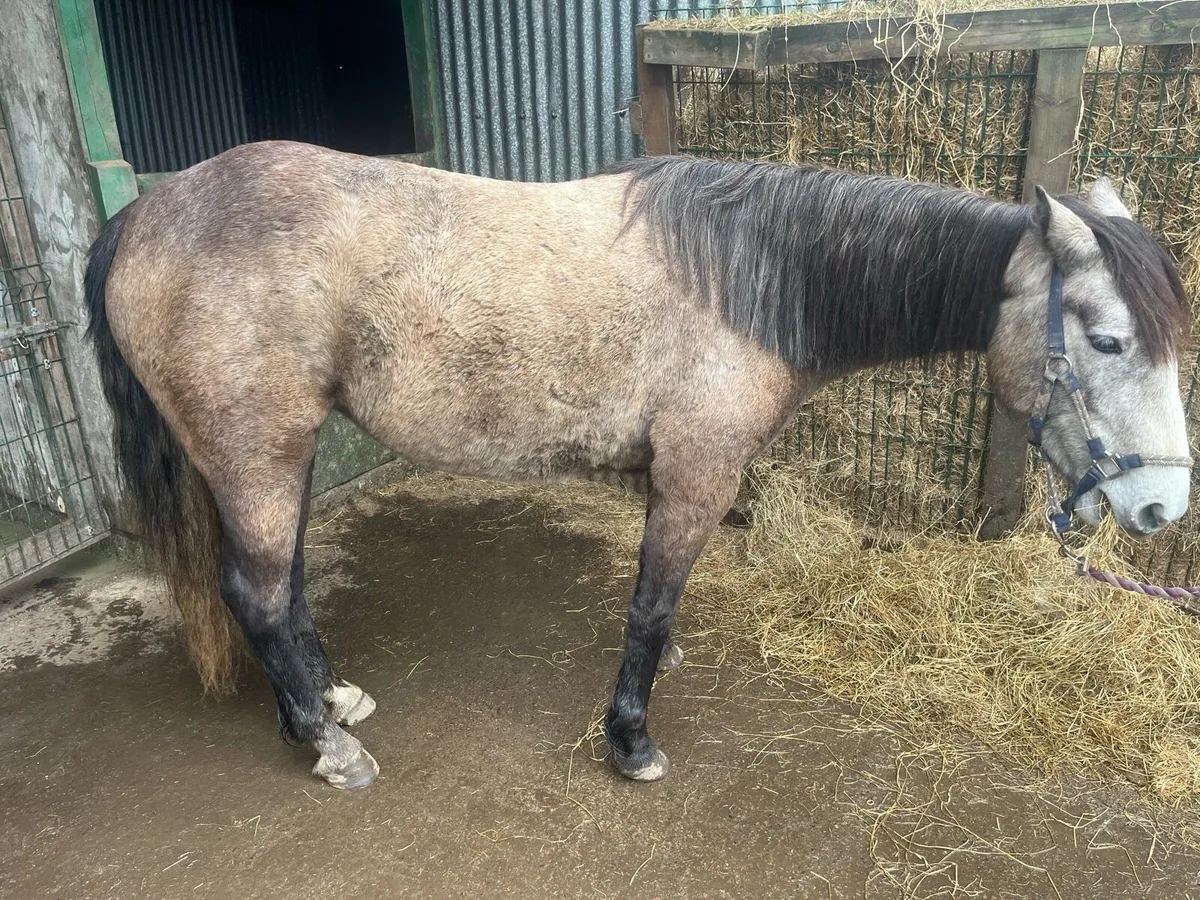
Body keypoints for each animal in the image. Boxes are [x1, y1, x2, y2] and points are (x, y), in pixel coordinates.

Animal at [84, 141, 1190, 789]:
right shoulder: (697, 472)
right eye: (1107, 341)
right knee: (258, 593)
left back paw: (322, 708)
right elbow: (652, 609)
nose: (1161, 506)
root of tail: (144, 216)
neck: (753, 277)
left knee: (277, 587)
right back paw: (329, 746)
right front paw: (630, 741)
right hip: (261, 452)